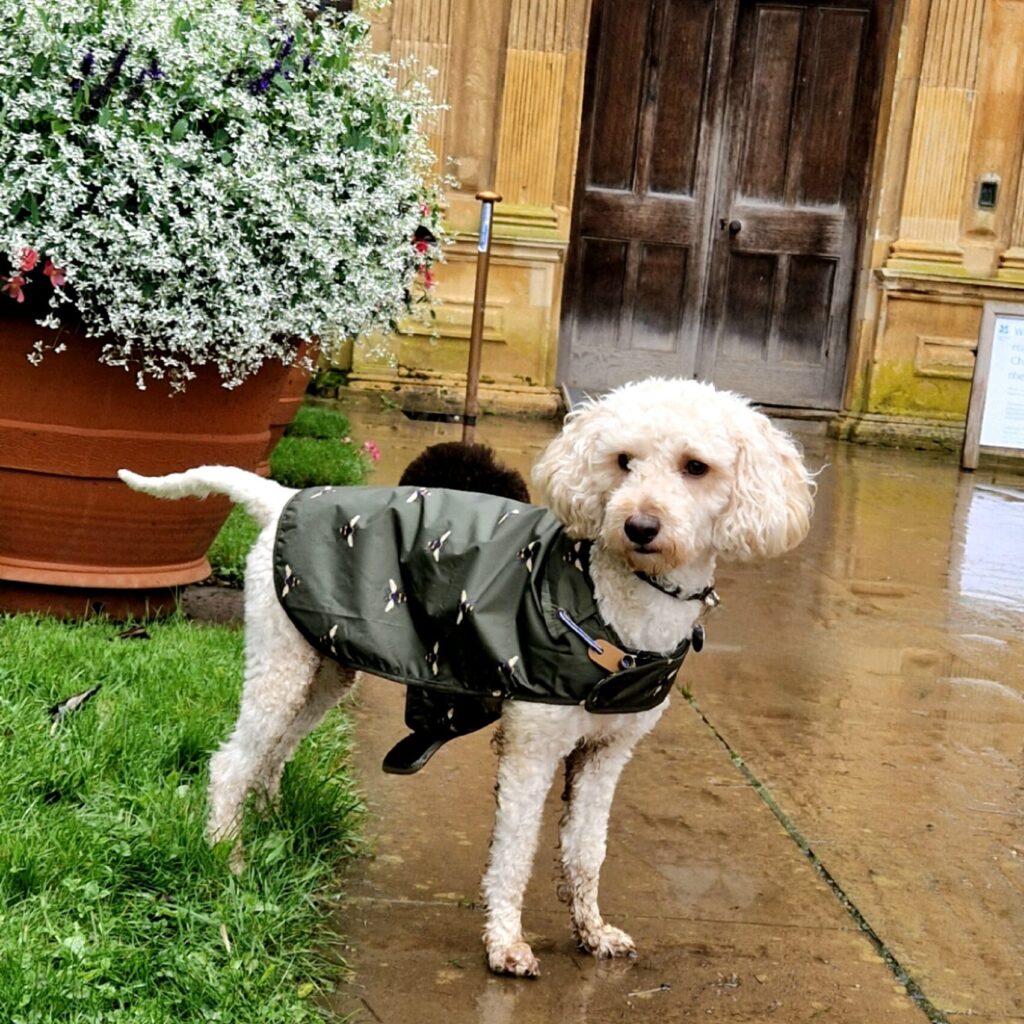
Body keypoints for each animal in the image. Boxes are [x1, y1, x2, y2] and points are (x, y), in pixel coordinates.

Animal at [119, 376, 811, 974]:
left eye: (696, 466)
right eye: (623, 461)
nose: (638, 526)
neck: (613, 602)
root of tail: (284, 498)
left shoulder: (606, 751)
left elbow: (587, 850)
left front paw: (592, 931)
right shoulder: (532, 744)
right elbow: (514, 851)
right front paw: (505, 945)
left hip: (323, 669)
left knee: (274, 753)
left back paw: (272, 824)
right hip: (281, 665)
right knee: (231, 762)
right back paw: (226, 856)